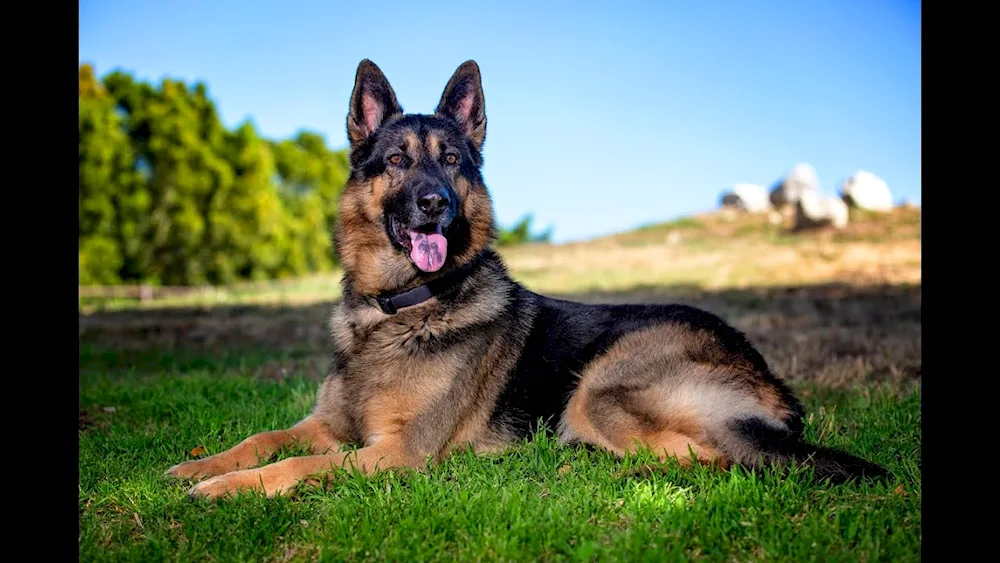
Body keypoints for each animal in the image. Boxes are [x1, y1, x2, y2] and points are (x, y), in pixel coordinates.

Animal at [166, 59, 892, 500]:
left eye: (452, 161)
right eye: (397, 160)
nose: (435, 204)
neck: (399, 310)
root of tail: (773, 383)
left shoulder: (398, 453)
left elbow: (298, 464)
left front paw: (221, 490)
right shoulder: (329, 423)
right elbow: (263, 439)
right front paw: (197, 464)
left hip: (600, 388)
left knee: (712, 461)